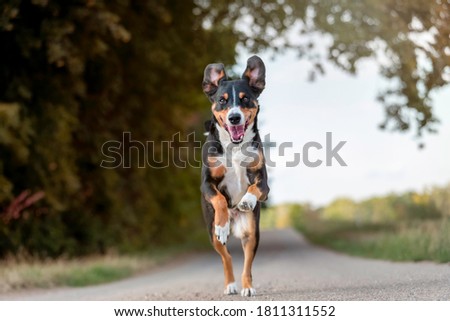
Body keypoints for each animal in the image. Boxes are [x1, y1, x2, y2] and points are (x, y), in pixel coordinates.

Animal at [201, 54, 270, 296]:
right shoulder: (206, 183)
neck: (235, 146)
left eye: (245, 99)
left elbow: (255, 188)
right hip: (211, 234)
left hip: (252, 232)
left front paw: (247, 200)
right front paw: (222, 224)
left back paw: (247, 287)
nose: (234, 118)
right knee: (226, 257)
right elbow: (220, 199)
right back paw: (230, 285)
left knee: (247, 262)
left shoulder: (264, 185)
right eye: (222, 101)